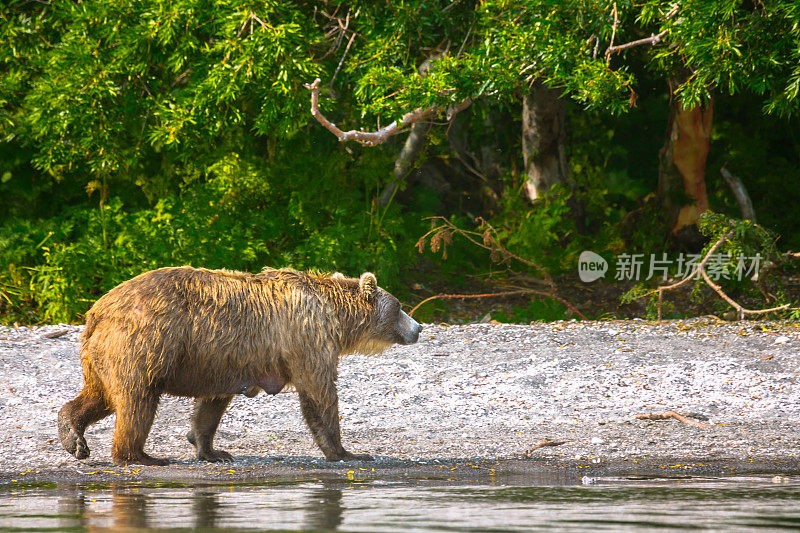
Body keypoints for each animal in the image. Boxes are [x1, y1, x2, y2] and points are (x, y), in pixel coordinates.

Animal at [58, 268, 422, 464]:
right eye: (399, 306)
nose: (418, 328)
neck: (336, 316)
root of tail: (98, 309)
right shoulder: (307, 336)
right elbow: (319, 393)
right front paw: (347, 452)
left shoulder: (224, 359)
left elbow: (211, 406)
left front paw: (210, 449)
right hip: (145, 341)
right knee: (137, 399)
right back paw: (141, 456)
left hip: (104, 352)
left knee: (100, 395)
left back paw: (73, 437)